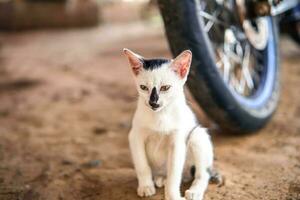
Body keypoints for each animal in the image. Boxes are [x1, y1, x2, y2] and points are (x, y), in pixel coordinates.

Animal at [123, 48, 214, 200]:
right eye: (143, 87)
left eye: (165, 87)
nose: (153, 103)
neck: (160, 115)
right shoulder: (135, 136)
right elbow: (142, 165)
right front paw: (146, 186)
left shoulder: (177, 142)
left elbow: (174, 175)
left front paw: (172, 195)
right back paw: (160, 178)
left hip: (197, 136)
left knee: (202, 174)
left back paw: (194, 191)